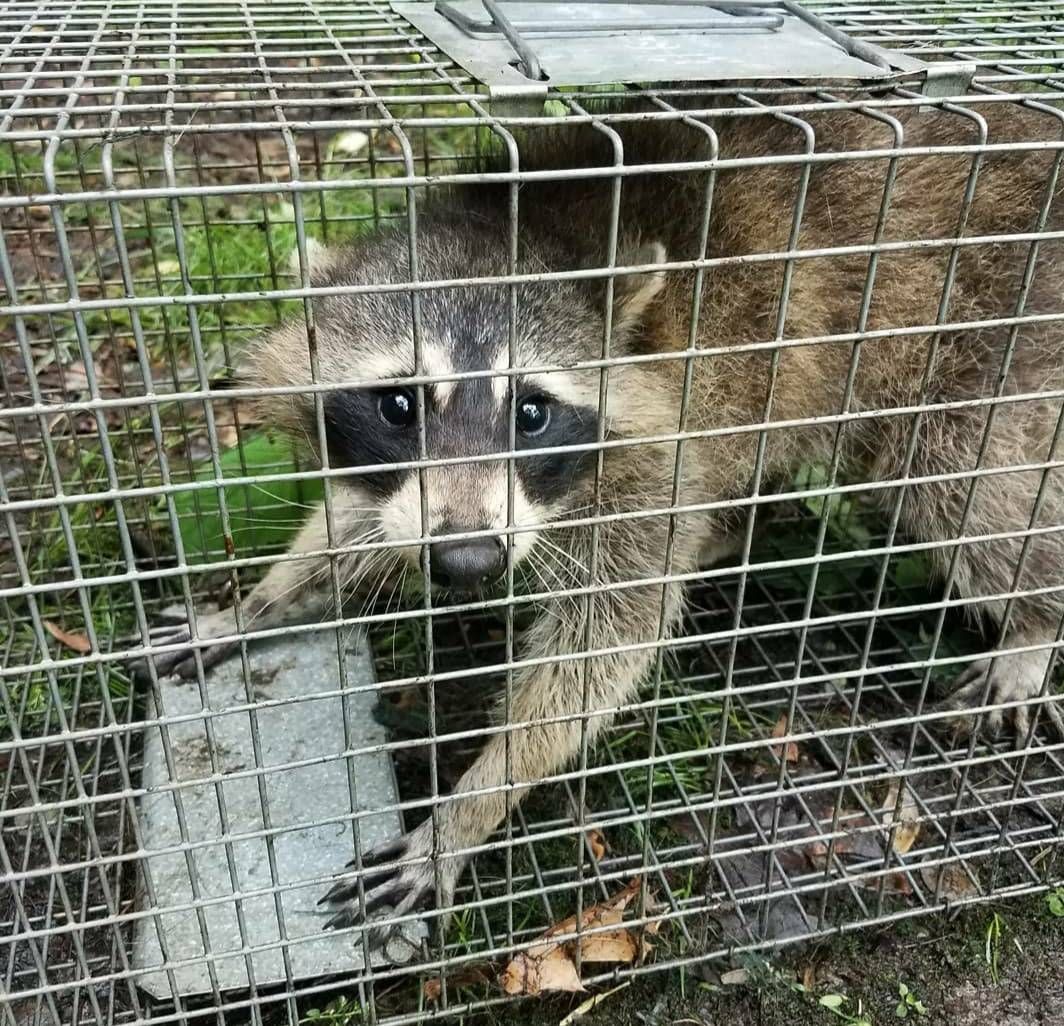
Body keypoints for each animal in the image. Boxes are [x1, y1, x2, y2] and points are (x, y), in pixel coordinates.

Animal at [139, 95, 1064, 938]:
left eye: (531, 411)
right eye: (399, 405)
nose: (468, 563)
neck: (519, 225)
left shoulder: (648, 456)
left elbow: (602, 648)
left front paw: (472, 804)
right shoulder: (412, 489)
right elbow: (357, 528)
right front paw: (252, 604)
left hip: (988, 337)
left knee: (965, 482)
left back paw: (1034, 618)